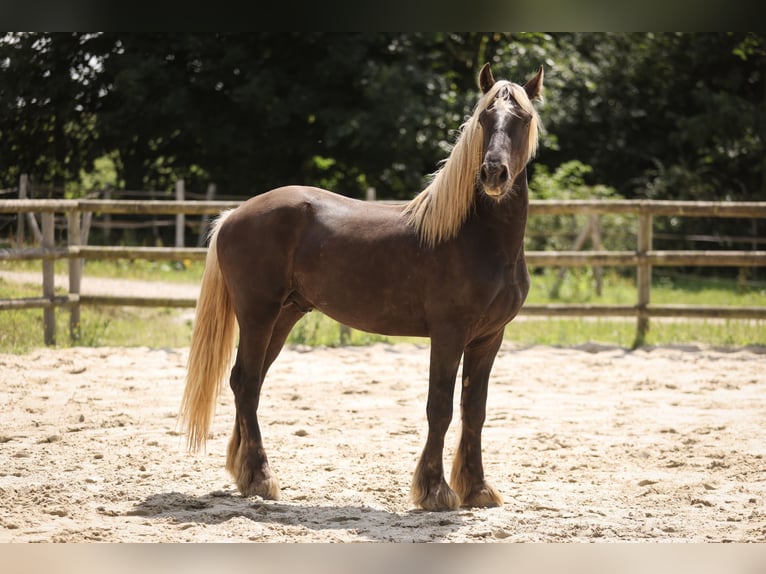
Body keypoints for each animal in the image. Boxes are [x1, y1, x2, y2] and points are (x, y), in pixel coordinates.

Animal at [181, 63, 544, 512]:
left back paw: (245, 474)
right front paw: (435, 490)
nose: (493, 173)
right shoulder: (449, 333)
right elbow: (440, 406)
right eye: (484, 119)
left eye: (523, 118)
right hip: (257, 314)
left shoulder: (489, 337)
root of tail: (233, 214)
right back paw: (261, 478)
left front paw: (476, 488)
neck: (476, 237)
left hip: (284, 315)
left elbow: (474, 410)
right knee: (246, 383)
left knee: (248, 383)